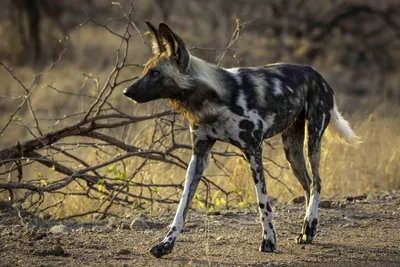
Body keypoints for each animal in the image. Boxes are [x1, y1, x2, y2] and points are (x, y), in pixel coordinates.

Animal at [122, 22, 360, 258]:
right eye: (145, 70)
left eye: (155, 73)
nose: (126, 91)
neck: (210, 102)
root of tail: (317, 73)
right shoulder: (199, 156)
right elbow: (182, 207)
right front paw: (166, 244)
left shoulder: (254, 151)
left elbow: (263, 202)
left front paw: (269, 241)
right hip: (291, 151)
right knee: (308, 184)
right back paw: (305, 232)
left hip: (312, 139)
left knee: (317, 182)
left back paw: (309, 227)